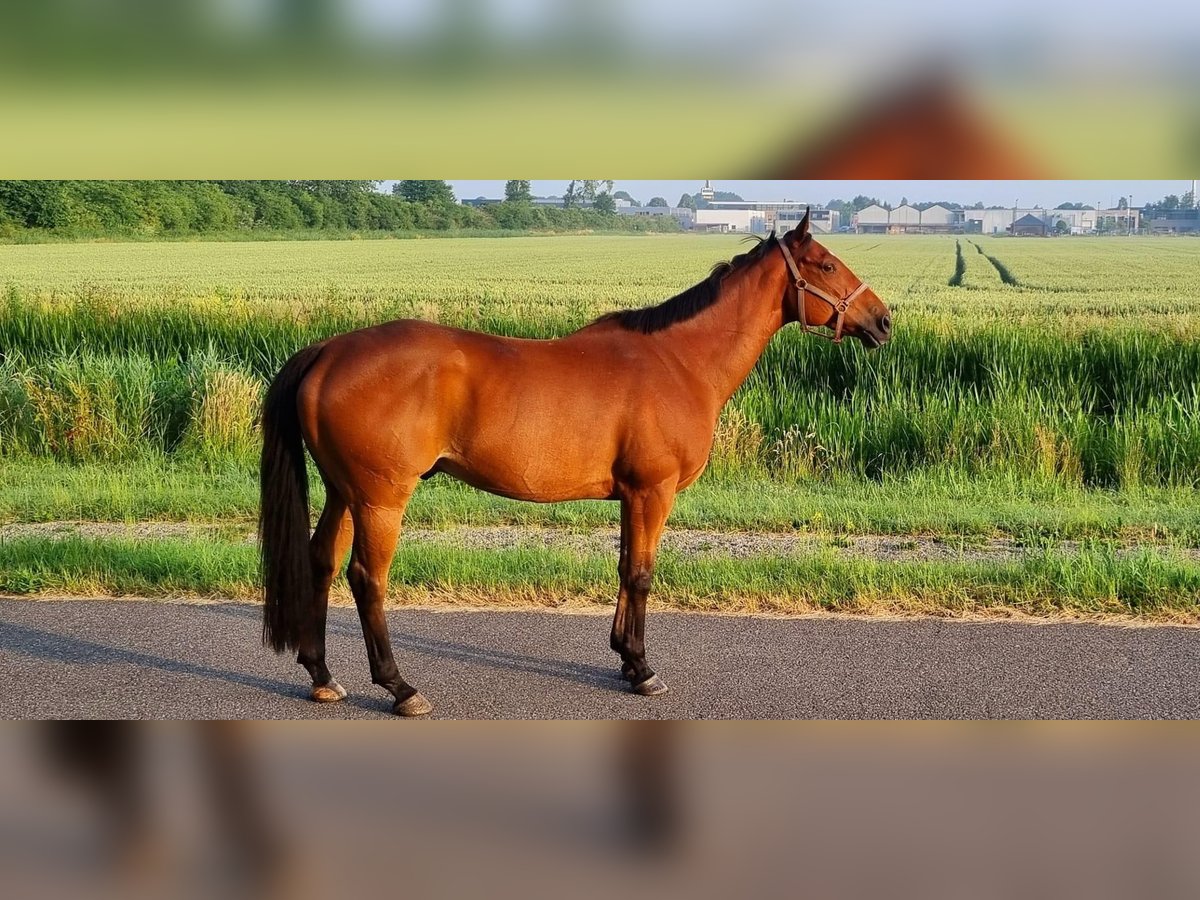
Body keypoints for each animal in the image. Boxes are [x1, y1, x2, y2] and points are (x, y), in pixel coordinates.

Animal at [255, 207, 892, 715]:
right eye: (826, 265)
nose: (883, 320)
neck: (679, 360)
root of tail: (328, 351)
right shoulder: (652, 491)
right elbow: (641, 573)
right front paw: (642, 670)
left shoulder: (632, 495)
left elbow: (625, 569)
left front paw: (625, 658)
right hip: (381, 497)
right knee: (367, 578)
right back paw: (399, 687)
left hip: (344, 492)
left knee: (320, 562)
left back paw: (322, 675)